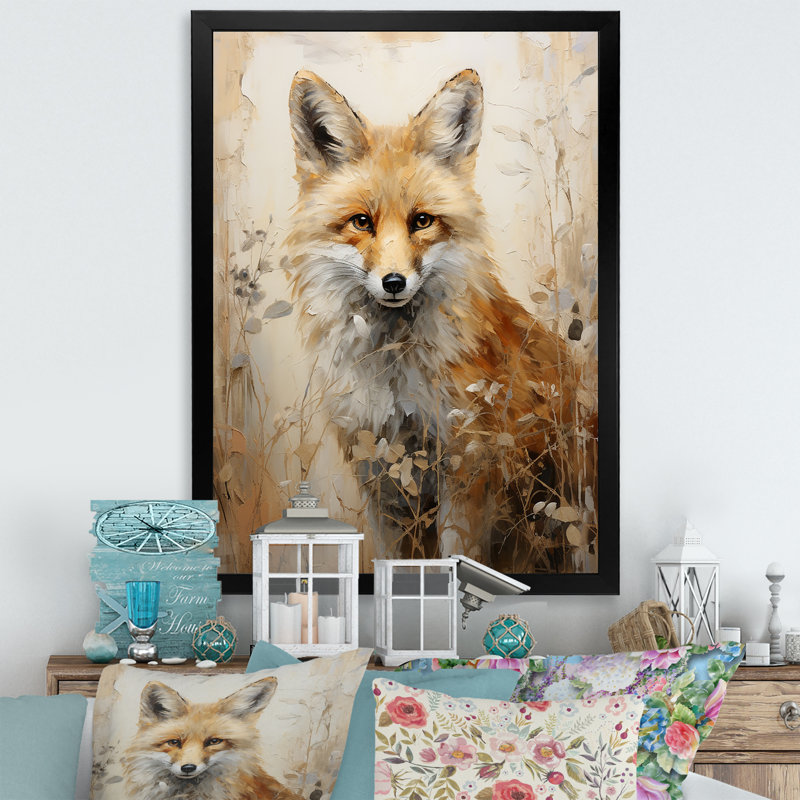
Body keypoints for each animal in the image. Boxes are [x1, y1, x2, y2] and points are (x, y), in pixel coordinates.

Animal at [286, 68, 596, 570]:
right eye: (361, 222)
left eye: (422, 221)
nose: (394, 282)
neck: (395, 376)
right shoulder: (379, 475)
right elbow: (390, 558)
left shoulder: (466, 467)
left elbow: (458, 557)